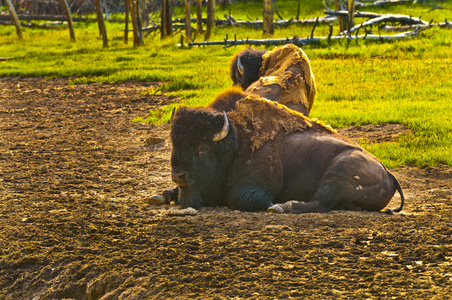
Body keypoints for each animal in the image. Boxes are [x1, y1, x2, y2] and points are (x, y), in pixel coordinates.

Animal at [150, 94, 404, 213]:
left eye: (202, 149)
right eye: (174, 144)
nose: (178, 175)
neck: (235, 144)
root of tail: (389, 174)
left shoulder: (255, 189)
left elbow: (242, 199)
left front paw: (273, 204)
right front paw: (158, 196)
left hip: (338, 176)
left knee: (320, 202)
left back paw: (282, 206)